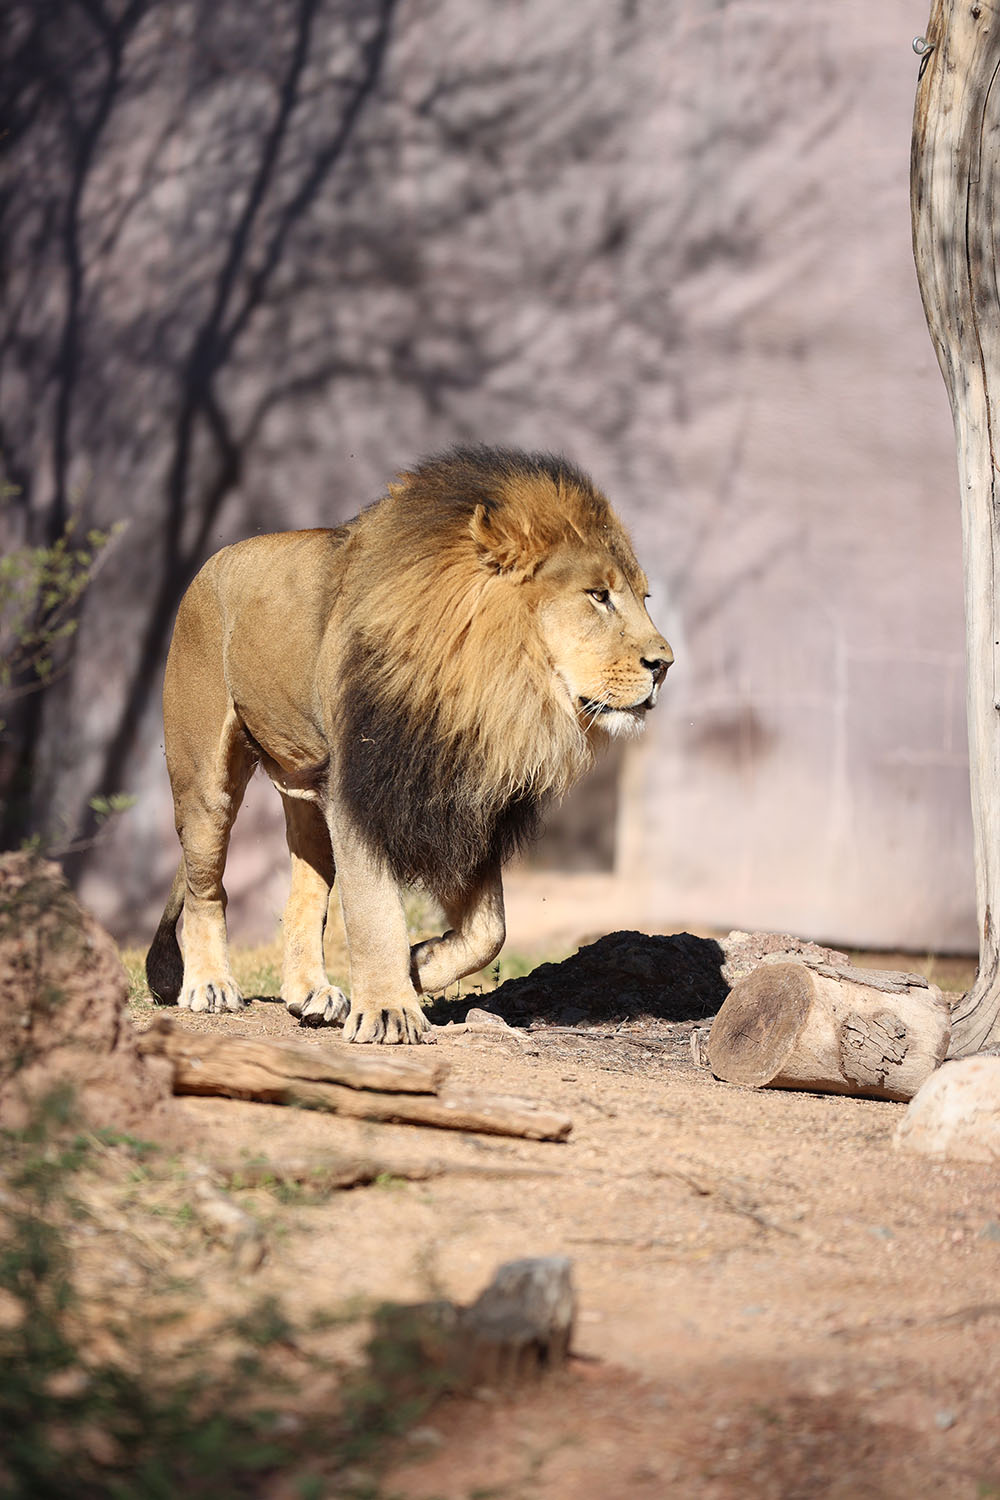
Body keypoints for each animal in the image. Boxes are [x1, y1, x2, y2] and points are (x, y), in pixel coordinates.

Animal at [146, 450, 671, 1050]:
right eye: (598, 595)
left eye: (643, 597)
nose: (665, 664)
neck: (497, 690)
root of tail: (213, 561)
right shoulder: (361, 790)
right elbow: (375, 912)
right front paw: (389, 1012)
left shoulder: (465, 800)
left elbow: (490, 930)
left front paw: (417, 965)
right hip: (205, 782)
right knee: (206, 888)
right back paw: (210, 985)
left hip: (306, 788)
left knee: (305, 892)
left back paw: (310, 993)